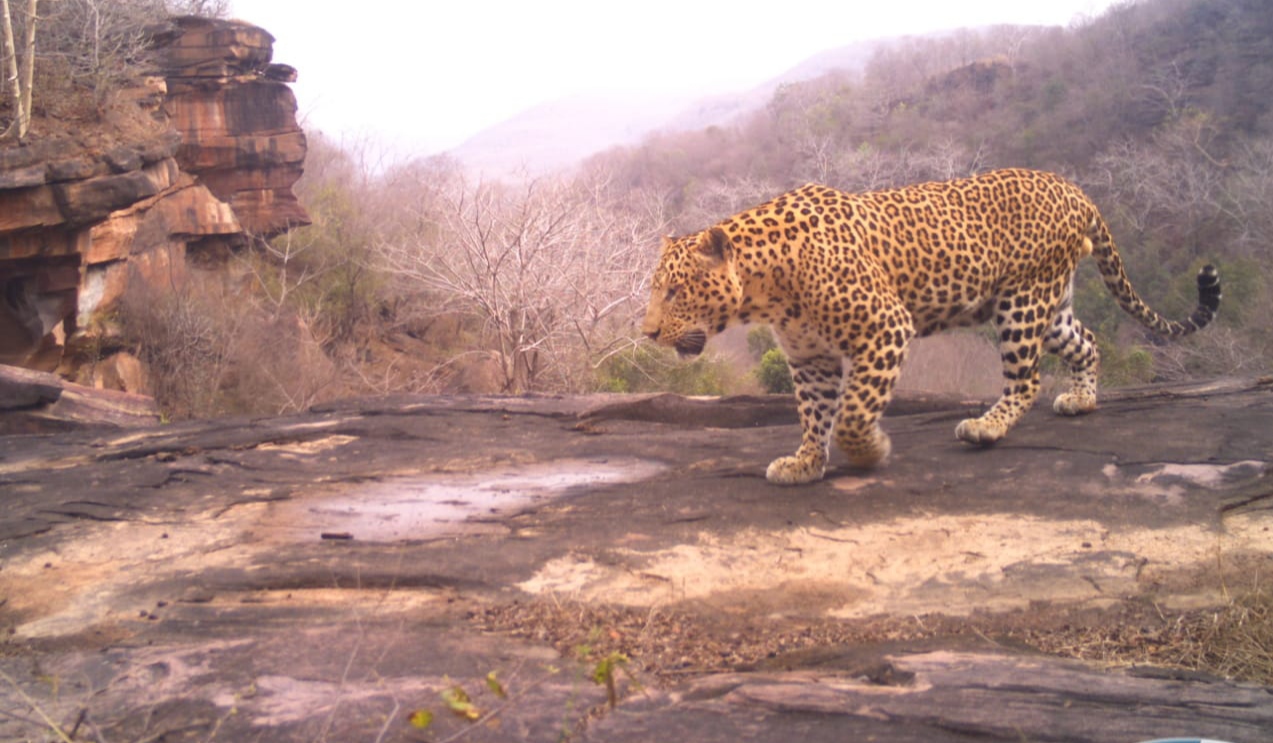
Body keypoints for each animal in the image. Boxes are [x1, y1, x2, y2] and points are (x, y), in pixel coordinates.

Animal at [641, 166, 1216, 488]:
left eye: (673, 291)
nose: (647, 333)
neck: (766, 287)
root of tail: (1073, 189)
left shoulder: (885, 328)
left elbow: (851, 414)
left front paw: (870, 452)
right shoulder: (810, 358)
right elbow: (814, 415)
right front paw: (805, 463)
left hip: (1022, 304)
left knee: (1026, 378)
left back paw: (986, 427)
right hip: (1048, 305)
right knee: (1088, 342)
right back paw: (1082, 400)